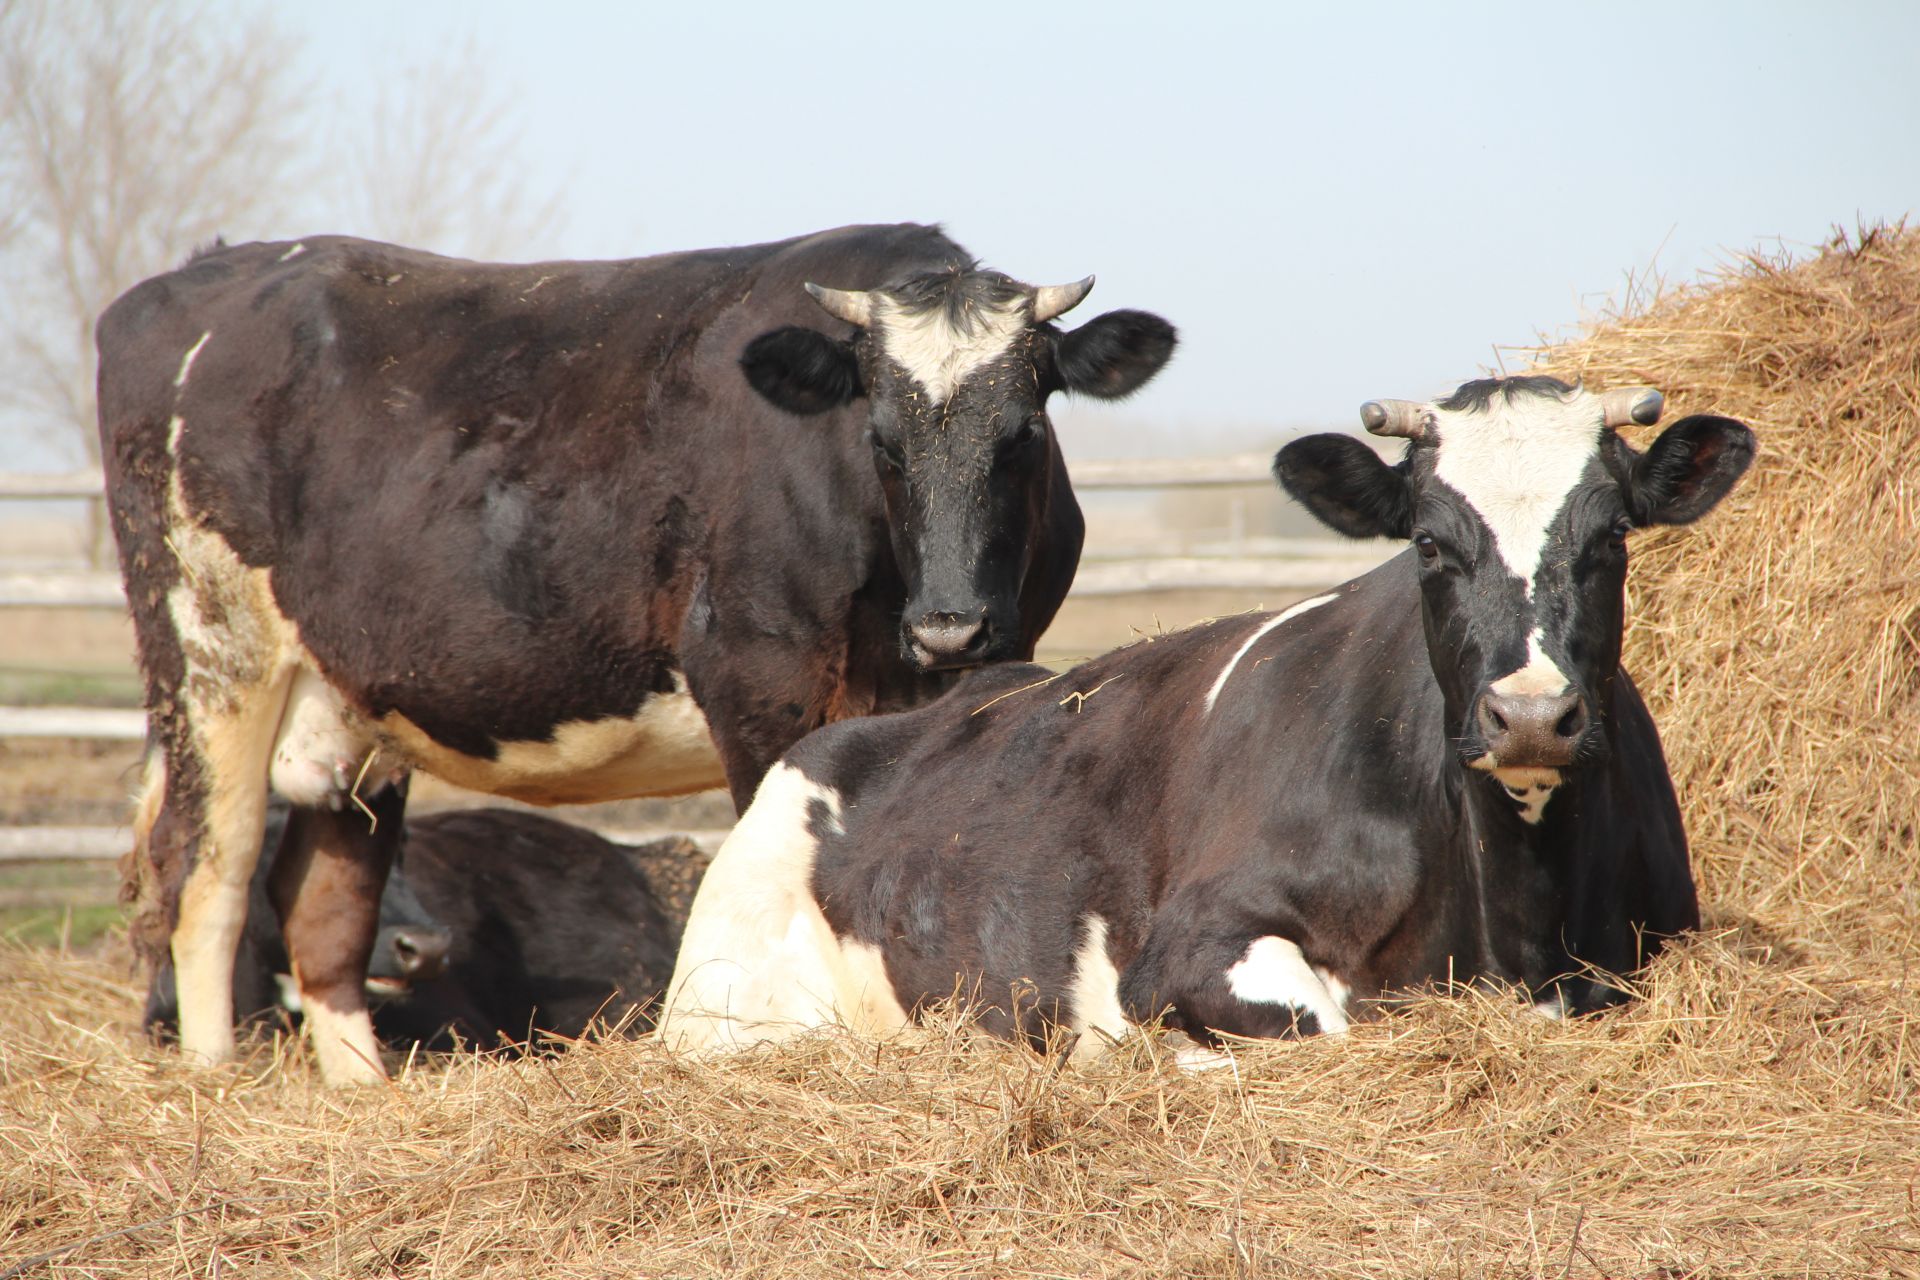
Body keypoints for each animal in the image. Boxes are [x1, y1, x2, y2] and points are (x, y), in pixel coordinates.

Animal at [664, 378, 1758, 1051]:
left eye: (1613, 534)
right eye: (1429, 542)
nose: (1529, 713)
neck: (1518, 924)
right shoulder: (1185, 944)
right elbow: (1324, 1026)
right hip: (724, 1005)